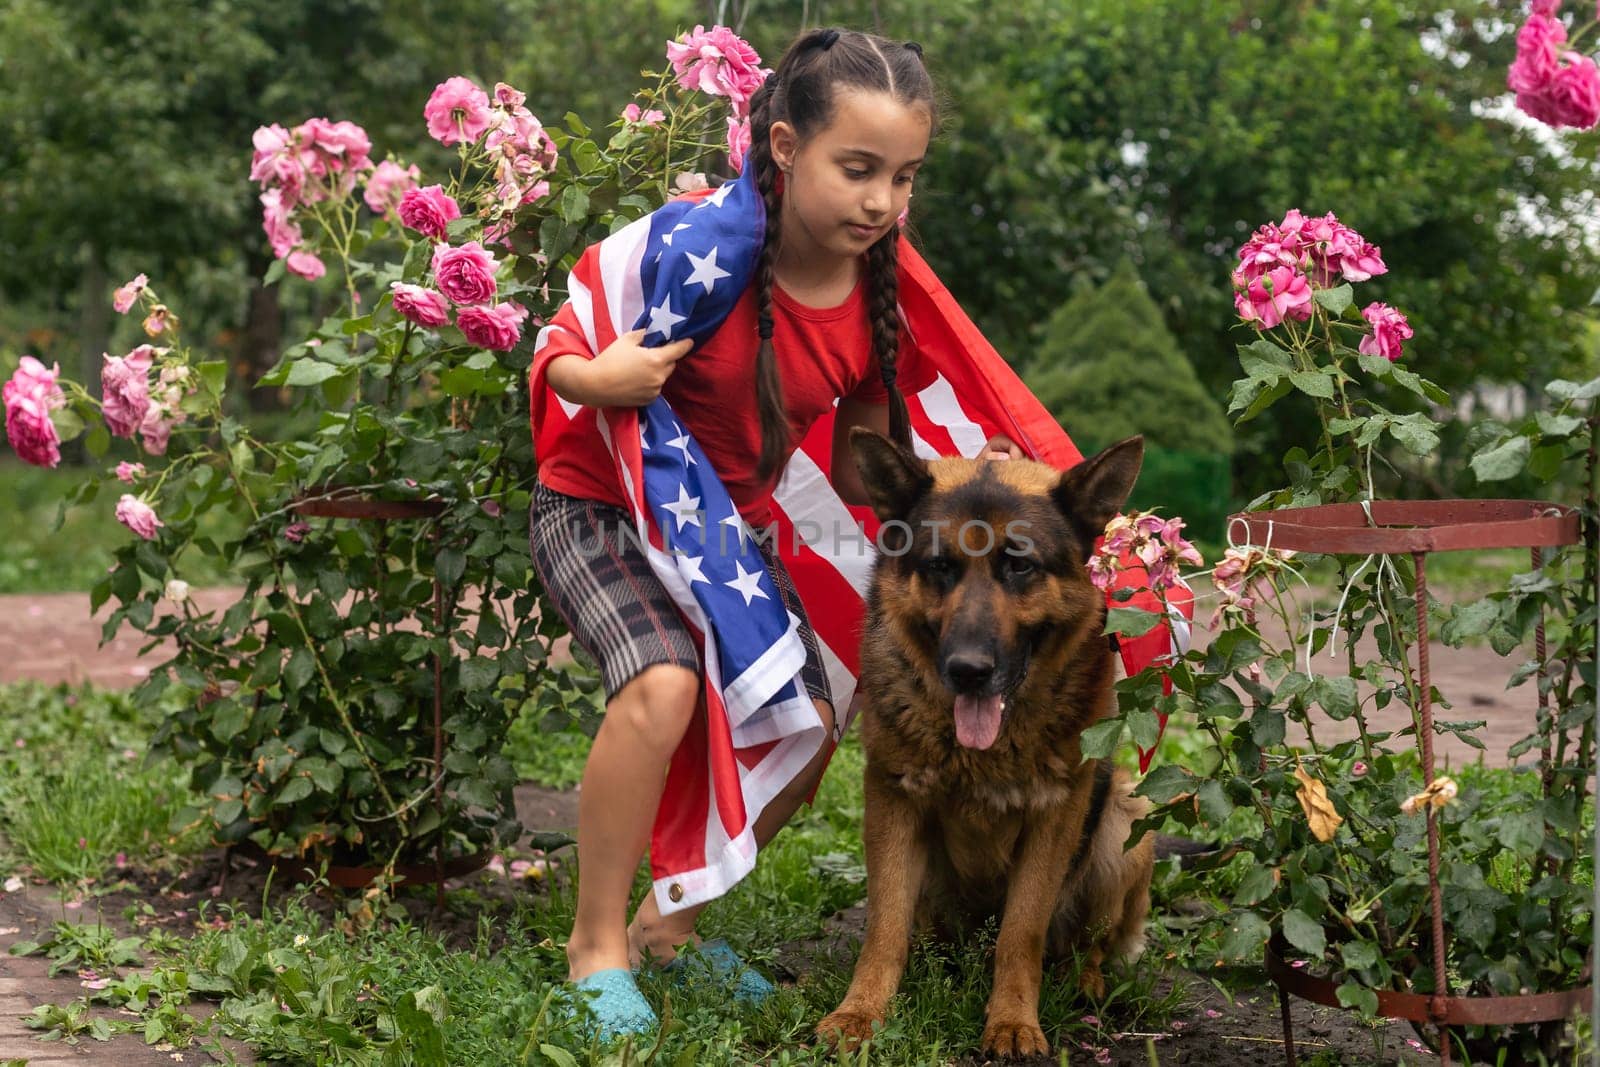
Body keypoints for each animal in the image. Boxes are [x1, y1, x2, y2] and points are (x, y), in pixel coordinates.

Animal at [819, 431, 1158, 1062]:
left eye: (1019, 565)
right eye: (939, 567)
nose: (968, 671)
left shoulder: (1055, 815)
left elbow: (1020, 932)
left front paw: (1013, 1021)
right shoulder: (892, 800)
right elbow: (884, 925)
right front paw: (861, 1012)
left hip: (1127, 816)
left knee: (1089, 944)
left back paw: (1086, 981)